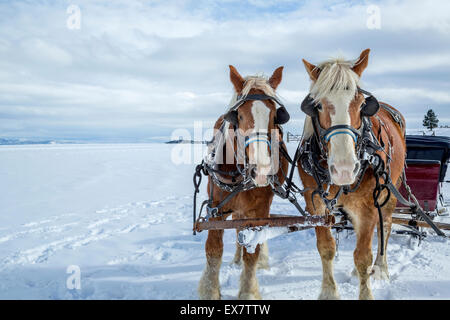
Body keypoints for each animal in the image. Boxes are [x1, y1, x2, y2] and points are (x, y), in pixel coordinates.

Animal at [199, 65, 290, 300]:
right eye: (238, 115)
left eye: (275, 116)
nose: (262, 171)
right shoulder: (216, 209)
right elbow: (213, 250)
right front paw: (211, 291)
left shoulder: (258, 211)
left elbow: (253, 252)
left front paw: (248, 291)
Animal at [298, 48, 408, 298]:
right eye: (318, 105)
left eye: (361, 105)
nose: (344, 169)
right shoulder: (315, 204)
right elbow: (326, 248)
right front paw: (329, 292)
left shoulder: (368, 205)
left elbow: (363, 256)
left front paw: (366, 290)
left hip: (389, 189)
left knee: (385, 225)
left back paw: (381, 268)